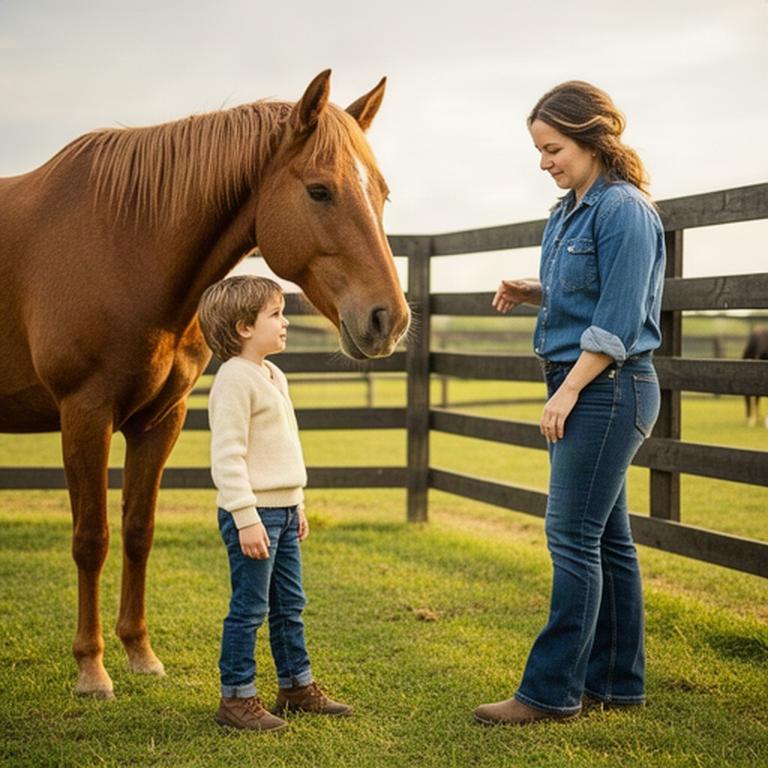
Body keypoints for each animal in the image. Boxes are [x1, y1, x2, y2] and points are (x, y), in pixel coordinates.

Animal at [0, 70, 410, 698]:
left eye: (382, 193)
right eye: (320, 191)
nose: (390, 319)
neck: (121, 245)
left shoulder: (159, 420)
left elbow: (138, 530)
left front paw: (139, 652)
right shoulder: (84, 414)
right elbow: (91, 539)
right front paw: (92, 668)